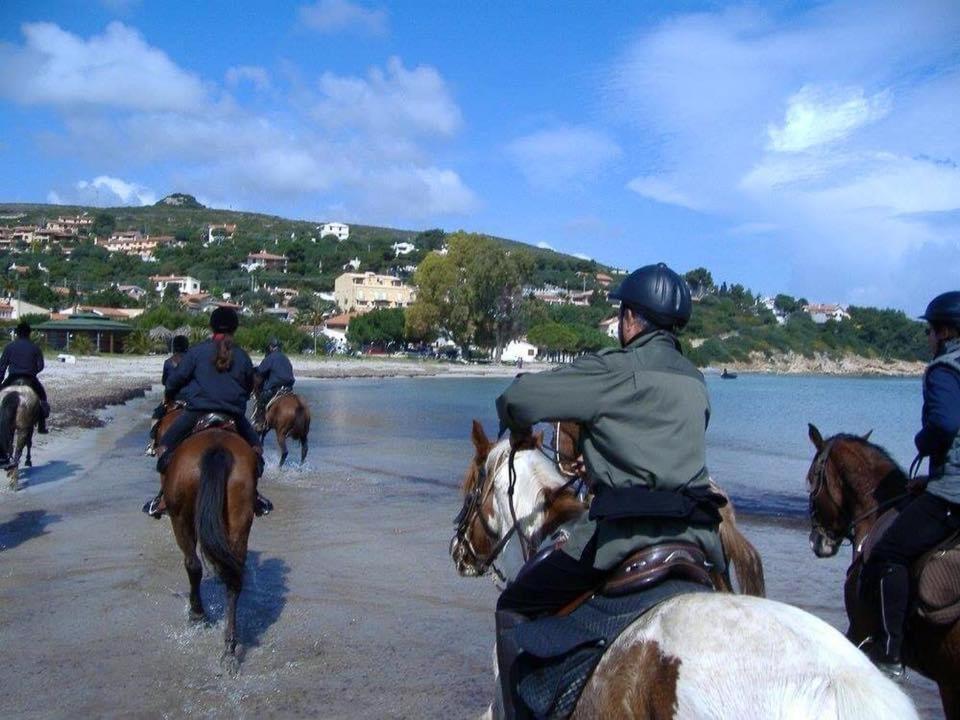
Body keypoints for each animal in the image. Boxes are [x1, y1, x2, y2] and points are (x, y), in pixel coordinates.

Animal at [162, 424, 258, 672]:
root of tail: (216, 448)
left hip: (181, 518)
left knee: (193, 564)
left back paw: (198, 614)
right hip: (239, 514)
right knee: (233, 579)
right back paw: (229, 650)